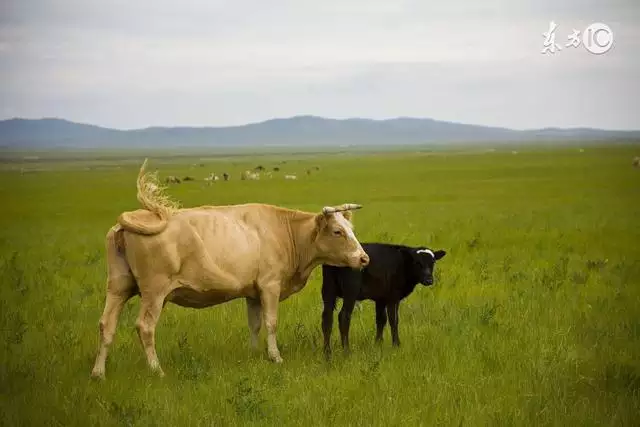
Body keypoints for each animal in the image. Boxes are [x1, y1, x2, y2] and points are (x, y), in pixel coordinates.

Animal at [91, 160, 370, 378]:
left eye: (351, 229)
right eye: (337, 231)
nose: (364, 258)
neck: (286, 231)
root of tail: (129, 220)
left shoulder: (253, 293)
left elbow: (255, 324)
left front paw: (254, 354)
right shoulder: (270, 286)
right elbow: (271, 322)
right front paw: (275, 357)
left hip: (118, 286)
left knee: (106, 324)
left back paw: (98, 373)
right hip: (154, 292)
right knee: (145, 327)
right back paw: (156, 370)